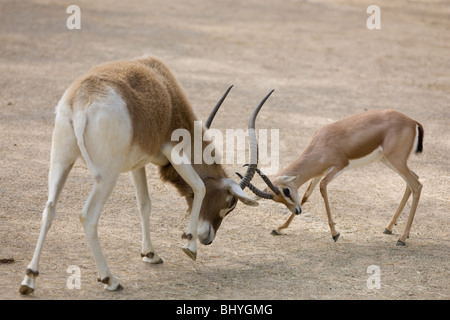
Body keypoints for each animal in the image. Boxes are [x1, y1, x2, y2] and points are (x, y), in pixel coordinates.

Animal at [20, 56, 270, 294]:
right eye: (231, 203)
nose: (207, 239)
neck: (167, 91)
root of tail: (82, 100)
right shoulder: (173, 149)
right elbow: (200, 186)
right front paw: (189, 246)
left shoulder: (137, 165)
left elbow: (145, 204)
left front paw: (150, 254)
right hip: (106, 175)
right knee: (88, 216)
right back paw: (110, 280)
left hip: (61, 162)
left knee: (49, 209)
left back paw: (29, 279)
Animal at [241, 109, 424, 246]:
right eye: (276, 199)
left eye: (286, 191)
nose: (297, 211)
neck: (322, 143)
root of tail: (411, 121)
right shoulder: (319, 172)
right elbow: (306, 195)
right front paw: (278, 228)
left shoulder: (337, 167)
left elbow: (323, 187)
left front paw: (335, 234)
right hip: (388, 160)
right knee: (411, 181)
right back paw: (389, 228)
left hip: (395, 160)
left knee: (416, 185)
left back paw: (402, 238)